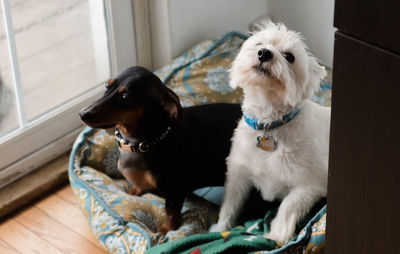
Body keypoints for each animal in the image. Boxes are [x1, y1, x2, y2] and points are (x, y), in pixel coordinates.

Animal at [211, 22, 330, 244]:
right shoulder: (238, 172)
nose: (264, 53)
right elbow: (230, 203)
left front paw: (277, 234)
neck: (269, 124)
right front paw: (220, 228)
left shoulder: (311, 184)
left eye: (289, 56)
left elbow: (288, 205)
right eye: (259, 44)